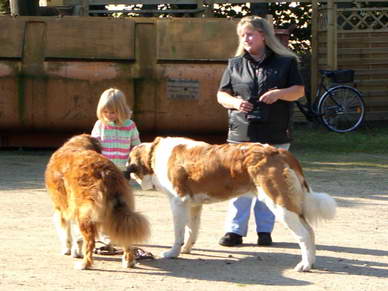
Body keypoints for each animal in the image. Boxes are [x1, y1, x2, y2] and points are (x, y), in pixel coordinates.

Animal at [44, 133, 149, 270]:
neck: (77, 145)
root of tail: (107, 173)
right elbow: (78, 237)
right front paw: (76, 251)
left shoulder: (61, 209)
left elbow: (66, 232)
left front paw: (67, 250)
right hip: (118, 213)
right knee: (126, 236)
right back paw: (128, 261)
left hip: (85, 214)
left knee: (90, 242)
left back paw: (85, 264)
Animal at [128, 137, 336, 274]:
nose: (127, 173)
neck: (154, 154)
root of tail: (279, 152)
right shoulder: (194, 205)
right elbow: (192, 230)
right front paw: (187, 249)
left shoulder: (178, 202)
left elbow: (178, 232)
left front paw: (173, 252)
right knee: (310, 231)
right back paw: (312, 262)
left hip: (280, 204)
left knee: (303, 235)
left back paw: (305, 265)